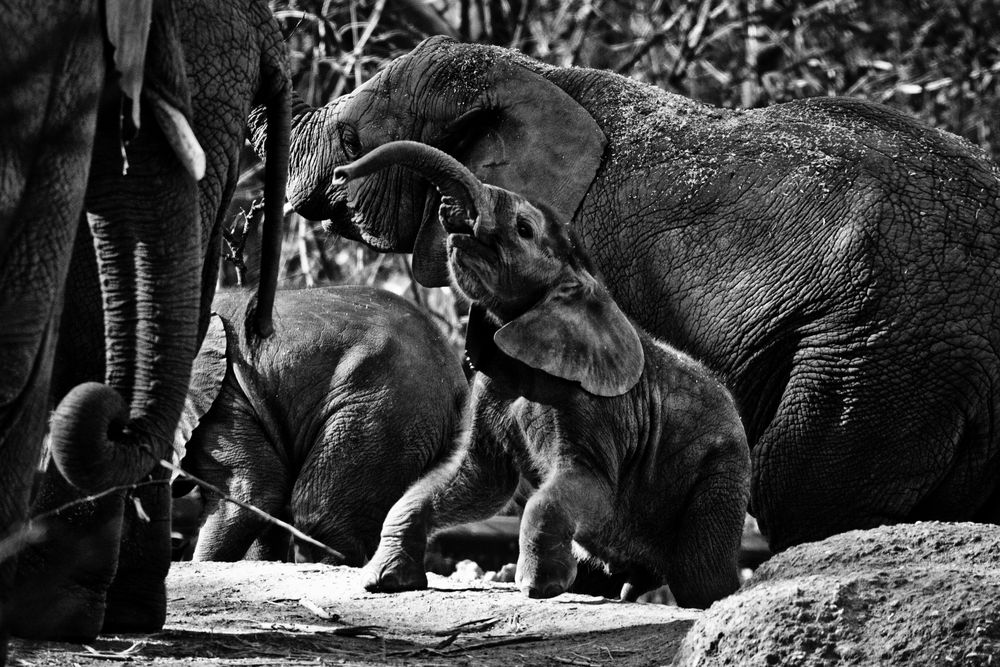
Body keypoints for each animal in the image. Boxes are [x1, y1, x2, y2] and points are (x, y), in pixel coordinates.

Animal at [336, 141, 752, 612]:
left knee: (701, 580)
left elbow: (585, 487)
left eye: (523, 228)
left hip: (721, 474)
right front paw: (383, 581)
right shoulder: (491, 388)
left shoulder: (594, 406)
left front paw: (539, 589)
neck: (579, 278)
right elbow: (480, 481)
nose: (341, 172)